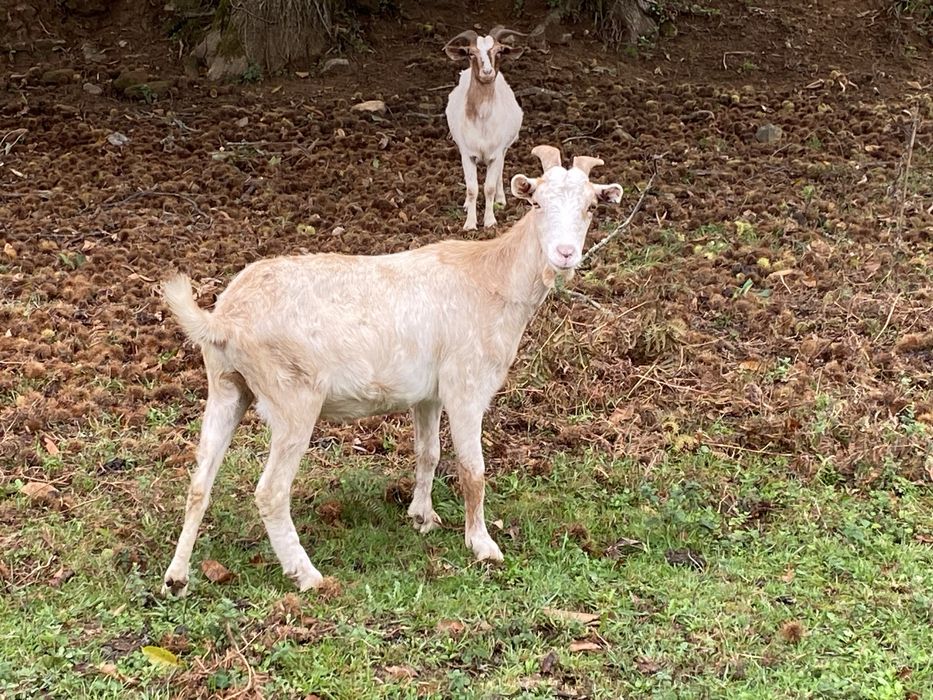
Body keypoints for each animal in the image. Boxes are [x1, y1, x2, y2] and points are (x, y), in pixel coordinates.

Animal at [160, 145, 623, 596]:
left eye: (590, 207)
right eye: (537, 203)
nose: (565, 254)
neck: (493, 278)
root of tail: (222, 320)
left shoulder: (429, 394)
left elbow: (428, 453)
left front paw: (422, 515)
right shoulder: (466, 385)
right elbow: (473, 470)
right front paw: (482, 545)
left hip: (227, 386)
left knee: (199, 482)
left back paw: (176, 578)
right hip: (292, 396)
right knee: (271, 492)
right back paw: (307, 575)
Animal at [444, 26, 525, 231]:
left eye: (499, 51)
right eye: (471, 53)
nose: (487, 72)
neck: (482, 121)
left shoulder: (496, 153)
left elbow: (488, 187)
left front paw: (489, 222)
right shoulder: (467, 154)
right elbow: (472, 188)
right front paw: (470, 224)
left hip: (504, 148)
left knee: (500, 171)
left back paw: (501, 200)